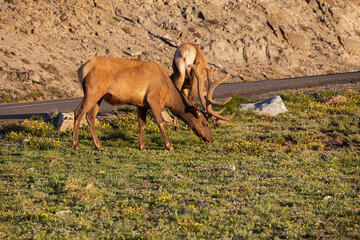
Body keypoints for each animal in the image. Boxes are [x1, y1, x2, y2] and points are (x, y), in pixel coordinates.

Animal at [73, 56, 214, 151]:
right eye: (205, 123)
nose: (210, 139)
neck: (167, 94)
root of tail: (80, 70)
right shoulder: (153, 100)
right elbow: (160, 122)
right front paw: (169, 145)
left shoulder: (141, 104)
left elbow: (142, 124)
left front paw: (142, 146)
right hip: (93, 91)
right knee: (78, 111)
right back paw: (76, 145)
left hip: (99, 96)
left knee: (90, 116)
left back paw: (99, 146)